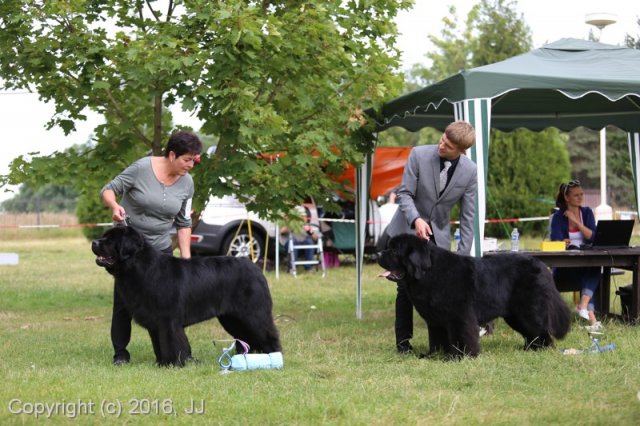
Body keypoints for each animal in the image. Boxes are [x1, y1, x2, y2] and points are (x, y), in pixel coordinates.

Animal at [91, 226, 282, 366]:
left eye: (110, 240)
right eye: (104, 237)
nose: (94, 242)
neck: (141, 268)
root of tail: (256, 268)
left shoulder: (167, 320)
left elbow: (169, 343)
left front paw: (171, 364)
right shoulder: (155, 322)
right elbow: (158, 344)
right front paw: (161, 363)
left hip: (253, 313)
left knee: (268, 333)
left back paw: (274, 356)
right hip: (232, 318)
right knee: (246, 337)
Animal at [380, 235, 568, 358]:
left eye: (394, 250)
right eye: (388, 247)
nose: (378, 254)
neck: (429, 272)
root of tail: (542, 266)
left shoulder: (459, 316)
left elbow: (462, 336)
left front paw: (459, 356)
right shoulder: (435, 320)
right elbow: (436, 338)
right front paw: (434, 355)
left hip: (529, 310)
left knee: (540, 329)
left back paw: (541, 349)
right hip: (515, 316)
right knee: (531, 332)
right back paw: (529, 349)